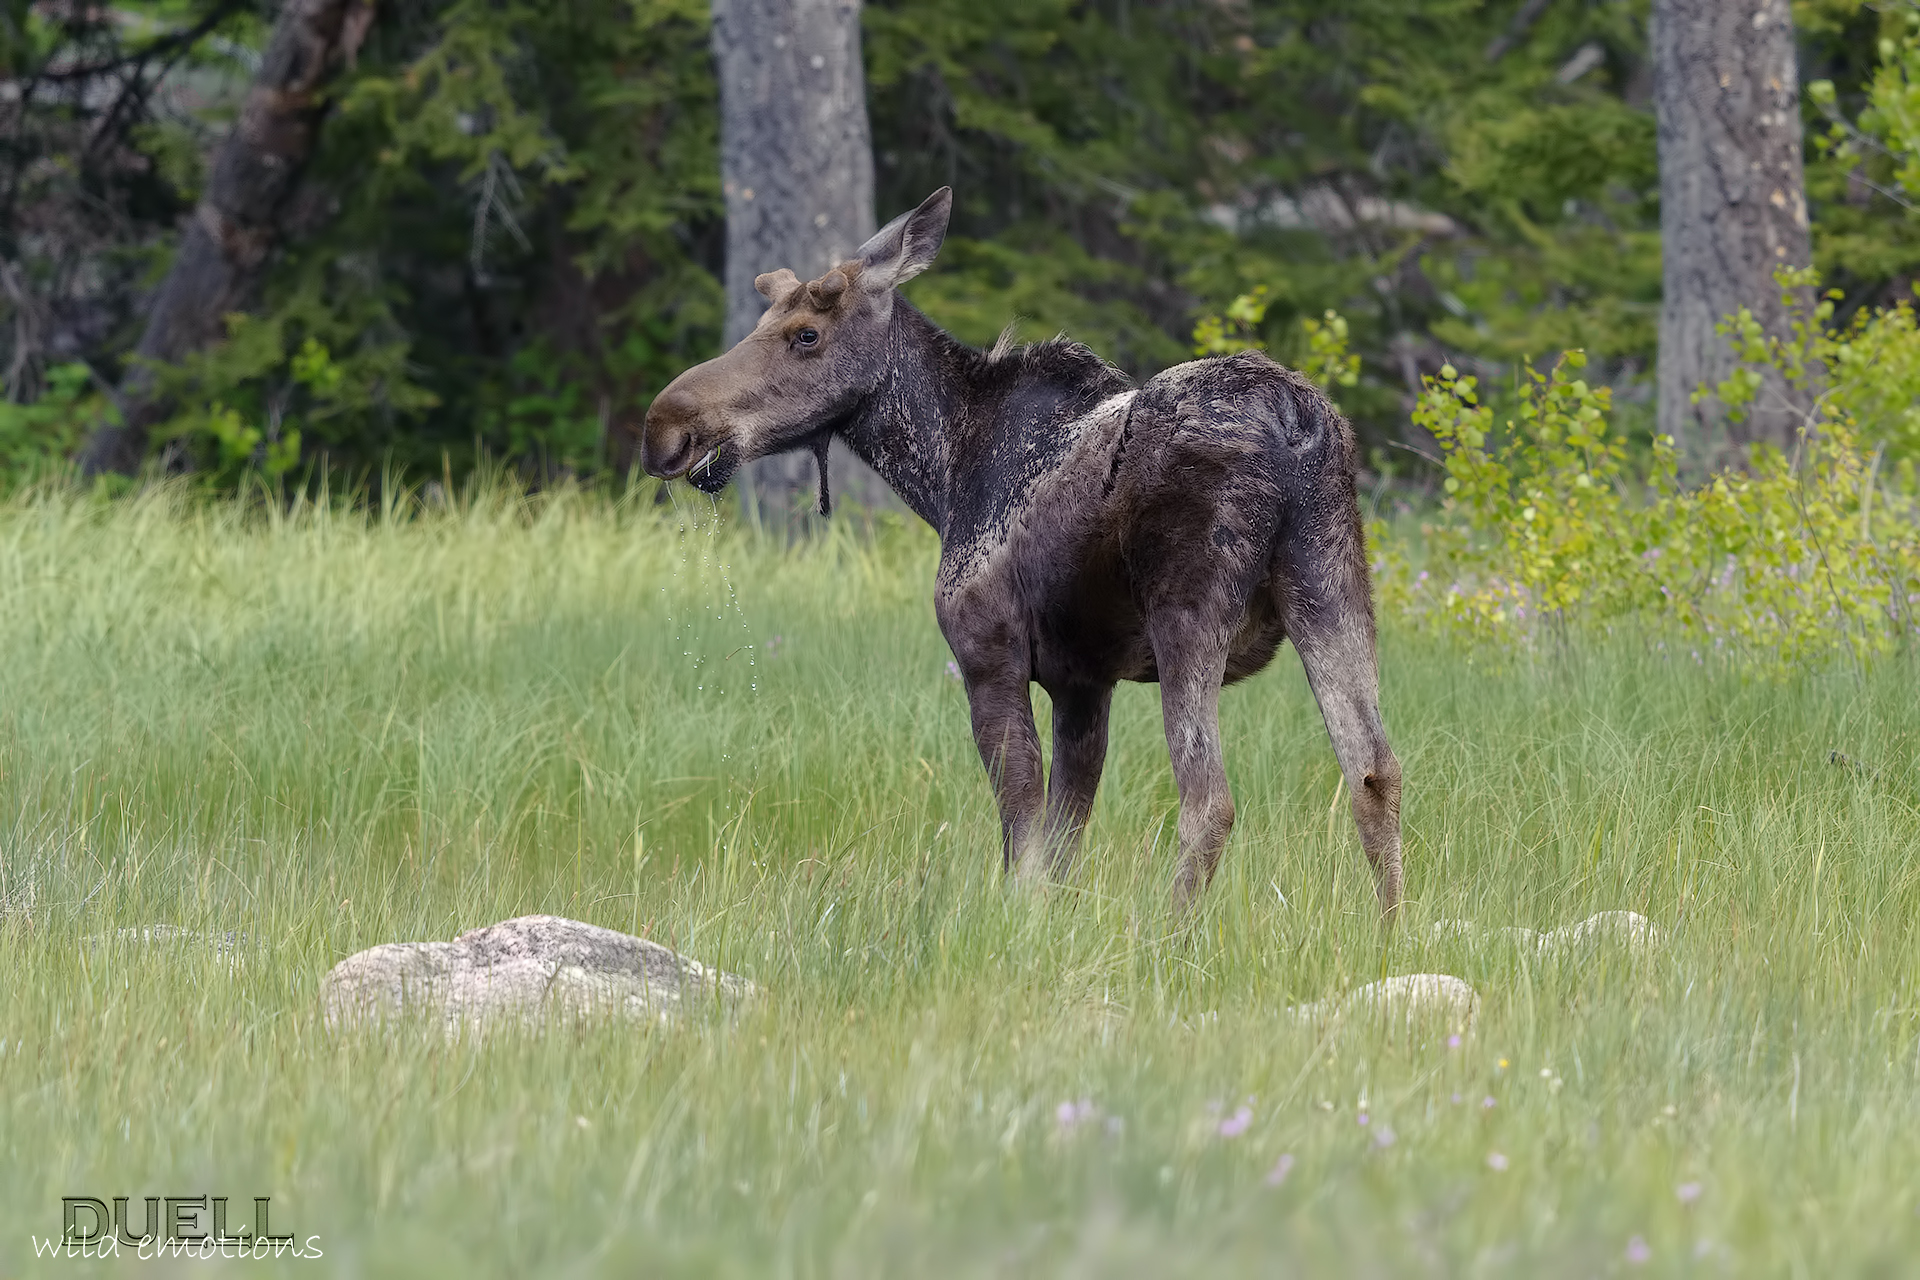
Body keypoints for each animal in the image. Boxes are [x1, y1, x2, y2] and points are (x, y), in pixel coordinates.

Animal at [642, 188, 1403, 914]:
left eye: (806, 333)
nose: (665, 425)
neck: (943, 478)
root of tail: (1294, 421)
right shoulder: (1084, 683)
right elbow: (1064, 842)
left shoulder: (990, 654)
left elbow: (1023, 833)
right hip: (1332, 580)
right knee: (1375, 774)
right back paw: (1388, 934)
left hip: (1189, 611)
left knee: (1208, 801)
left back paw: (1168, 937)